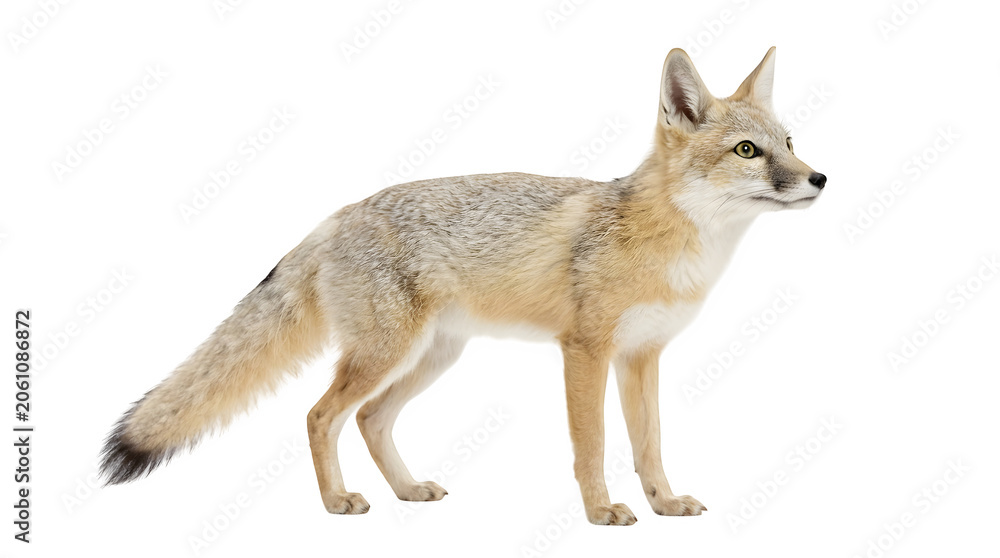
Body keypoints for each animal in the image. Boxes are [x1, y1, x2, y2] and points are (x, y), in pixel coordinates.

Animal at [100, 46, 825, 525]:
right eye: (748, 152)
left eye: (790, 142)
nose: (820, 178)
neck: (669, 244)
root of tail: (339, 214)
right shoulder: (585, 351)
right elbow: (591, 445)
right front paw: (600, 512)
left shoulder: (641, 358)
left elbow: (650, 446)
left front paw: (664, 503)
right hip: (386, 355)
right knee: (320, 415)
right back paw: (337, 501)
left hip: (432, 359)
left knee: (368, 419)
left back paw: (407, 491)